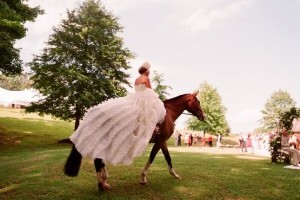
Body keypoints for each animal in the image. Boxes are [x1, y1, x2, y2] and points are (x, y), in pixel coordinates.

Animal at [63, 91, 204, 190]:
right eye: (198, 101)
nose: (203, 116)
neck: (167, 113)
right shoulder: (160, 141)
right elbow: (152, 157)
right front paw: (143, 178)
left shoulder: (162, 141)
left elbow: (168, 157)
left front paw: (174, 174)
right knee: (98, 158)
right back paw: (102, 183)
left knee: (98, 158)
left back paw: (103, 181)